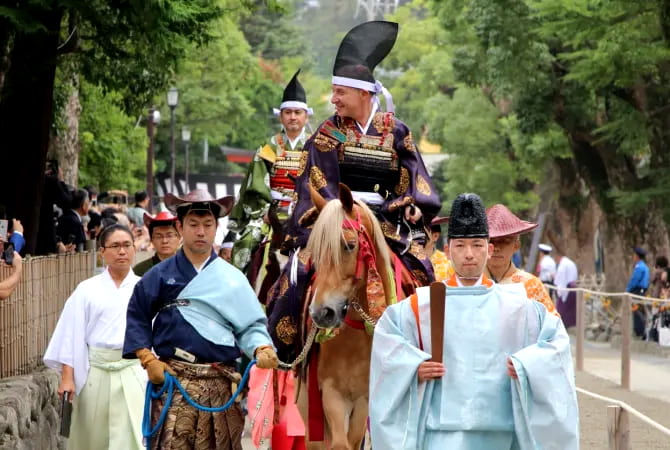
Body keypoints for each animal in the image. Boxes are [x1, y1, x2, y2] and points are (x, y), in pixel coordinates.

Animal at [300, 184, 400, 450]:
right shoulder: (331, 391)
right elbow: (338, 443)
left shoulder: (365, 396)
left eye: (349, 245)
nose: (321, 312)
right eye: (316, 252)